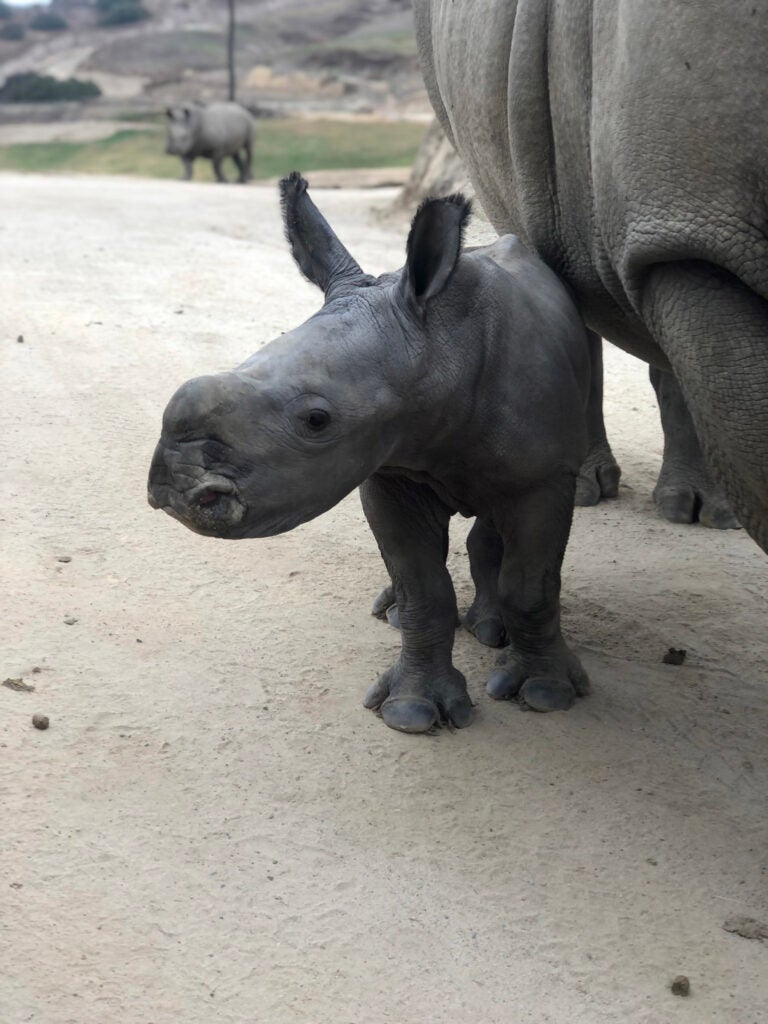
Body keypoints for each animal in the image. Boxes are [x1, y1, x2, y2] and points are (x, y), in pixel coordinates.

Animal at [148, 173, 592, 733]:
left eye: (317, 420)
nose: (175, 487)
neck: (440, 344)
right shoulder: (389, 470)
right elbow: (424, 588)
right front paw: (413, 709)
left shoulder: (545, 474)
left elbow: (531, 586)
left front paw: (546, 693)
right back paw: (395, 613)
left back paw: (491, 631)